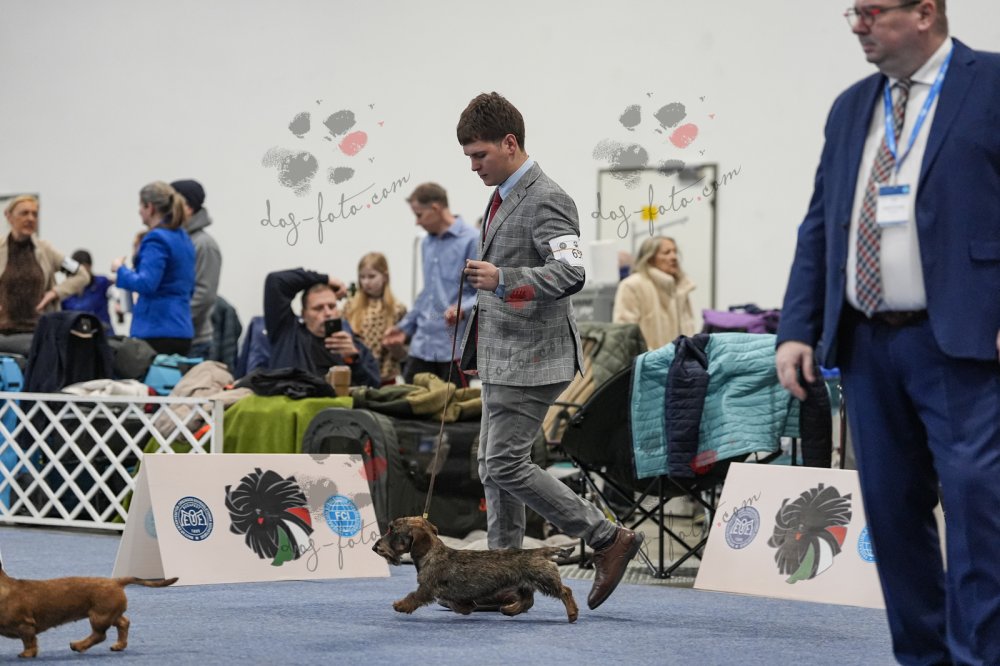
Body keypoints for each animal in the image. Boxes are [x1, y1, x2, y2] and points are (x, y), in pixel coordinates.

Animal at [0, 561, 178, 658]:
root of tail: (116, 582)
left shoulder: (25, 626)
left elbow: (29, 642)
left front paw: (27, 654)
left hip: (99, 616)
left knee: (99, 635)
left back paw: (78, 645)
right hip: (110, 614)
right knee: (123, 623)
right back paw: (119, 645)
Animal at [372, 516, 578, 623]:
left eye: (391, 530)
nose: (374, 547)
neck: (431, 553)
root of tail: (540, 551)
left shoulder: (427, 588)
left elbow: (413, 597)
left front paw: (400, 605)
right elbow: (458, 602)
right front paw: (467, 607)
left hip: (545, 580)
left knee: (565, 591)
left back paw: (572, 613)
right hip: (523, 584)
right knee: (527, 601)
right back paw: (510, 609)